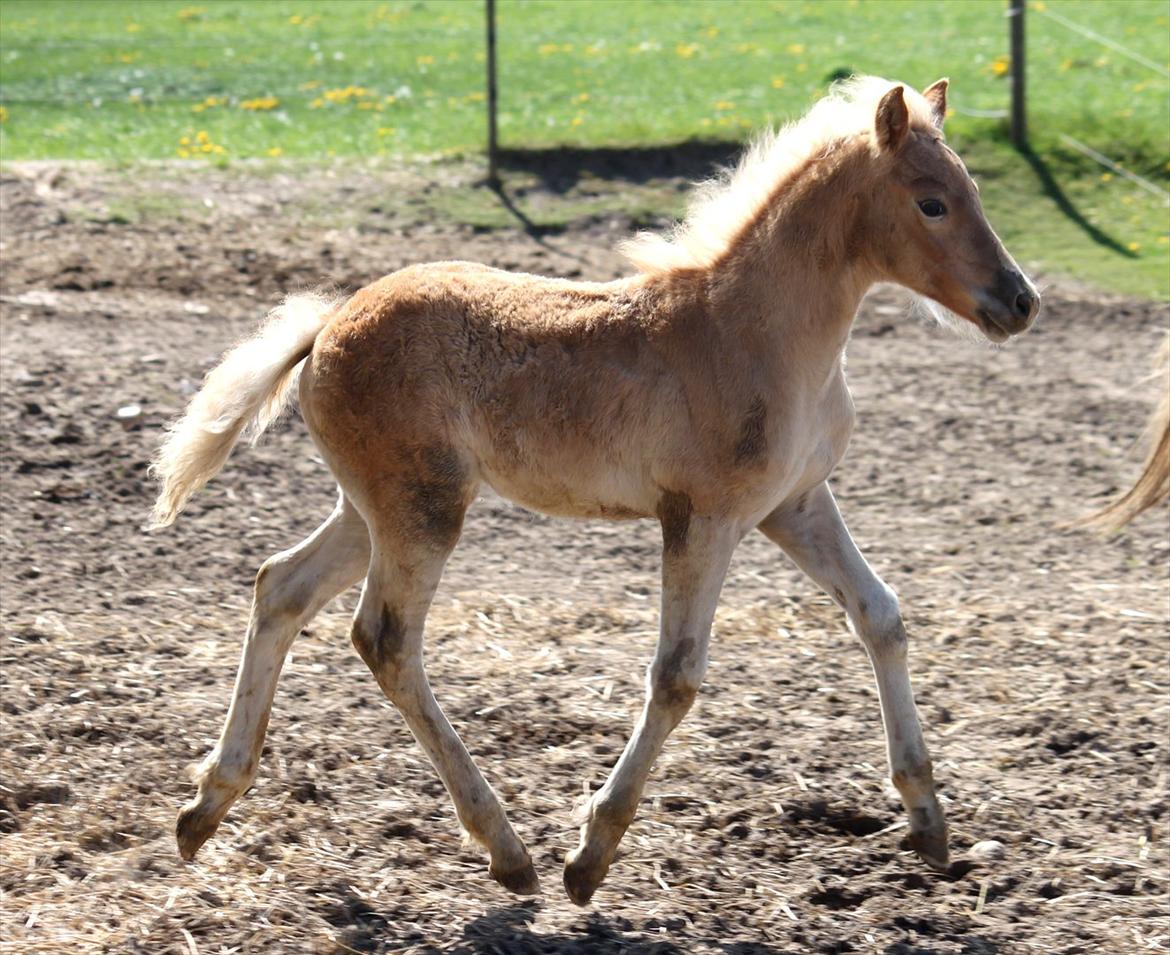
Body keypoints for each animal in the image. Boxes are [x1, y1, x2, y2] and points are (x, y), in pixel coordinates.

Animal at [155, 78, 1043, 908]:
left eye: (972, 188)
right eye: (932, 202)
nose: (1020, 300)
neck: (757, 332)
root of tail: (329, 323)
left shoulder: (794, 503)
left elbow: (880, 614)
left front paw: (928, 818)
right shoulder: (703, 517)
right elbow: (676, 675)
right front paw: (592, 853)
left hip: (369, 508)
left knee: (281, 586)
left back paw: (206, 806)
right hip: (421, 509)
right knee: (385, 639)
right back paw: (507, 849)